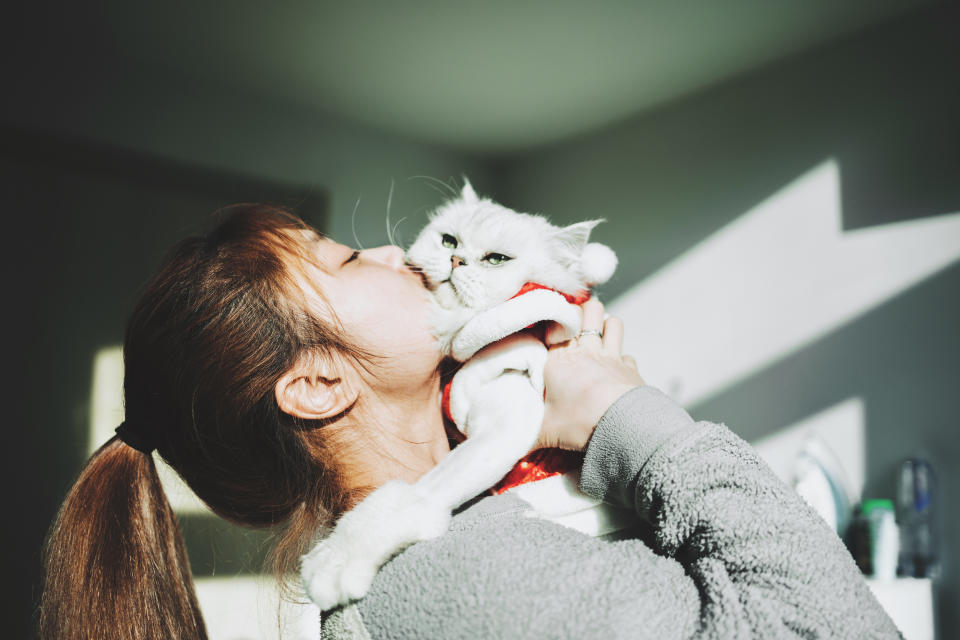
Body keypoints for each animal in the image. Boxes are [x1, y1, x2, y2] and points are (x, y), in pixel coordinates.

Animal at [300, 180, 616, 608]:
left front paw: (335, 562)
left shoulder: (505, 419)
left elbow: (412, 497)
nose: (455, 260)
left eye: (496, 259)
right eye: (449, 240)